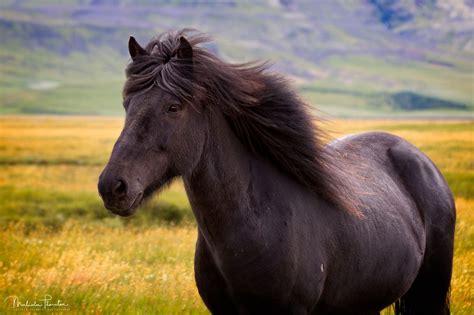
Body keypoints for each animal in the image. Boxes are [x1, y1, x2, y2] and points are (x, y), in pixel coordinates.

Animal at [97, 29, 456, 314]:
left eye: (173, 107)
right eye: (127, 105)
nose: (112, 186)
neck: (254, 221)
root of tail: (418, 158)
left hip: (429, 291)